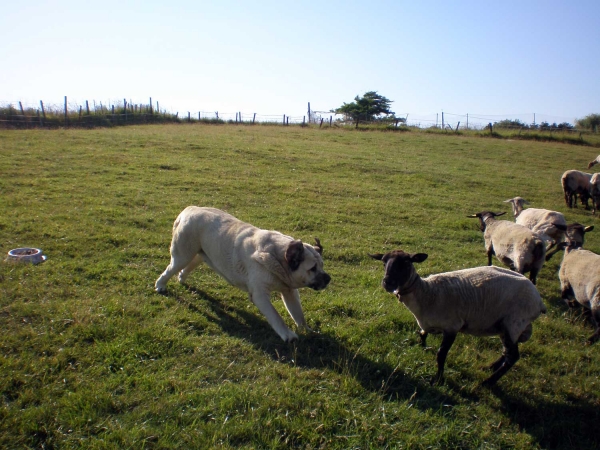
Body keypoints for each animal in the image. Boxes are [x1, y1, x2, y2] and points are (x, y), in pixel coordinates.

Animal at [155, 207, 332, 342]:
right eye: (313, 268)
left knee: (186, 268)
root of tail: (188, 210)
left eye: (322, 266)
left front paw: (307, 330)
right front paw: (288, 335)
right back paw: (160, 286)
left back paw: (181, 279)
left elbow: (298, 314)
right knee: (170, 269)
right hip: (182, 255)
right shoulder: (260, 295)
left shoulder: (289, 292)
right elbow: (276, 317)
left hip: (199, 255)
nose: (328, 278)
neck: (278, 258)